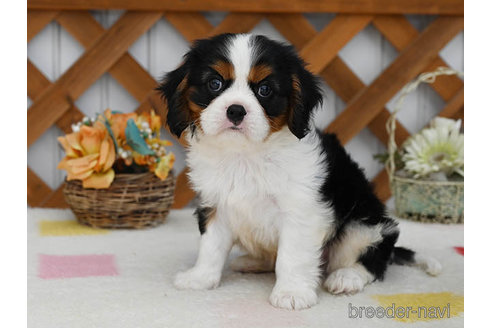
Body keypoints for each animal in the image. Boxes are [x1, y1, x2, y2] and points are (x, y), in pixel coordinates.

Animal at [159, 33, 442, 310]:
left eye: (264, 90)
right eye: (214, 84)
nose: (236, 110)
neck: (245, 154)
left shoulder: (301, 212)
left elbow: (291, 256)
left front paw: (291, 292)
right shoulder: (215, 205)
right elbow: (211, 247)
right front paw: (200, 278)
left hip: (364, 226)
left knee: (372, 261)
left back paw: (346, 277)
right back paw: (251, 262)